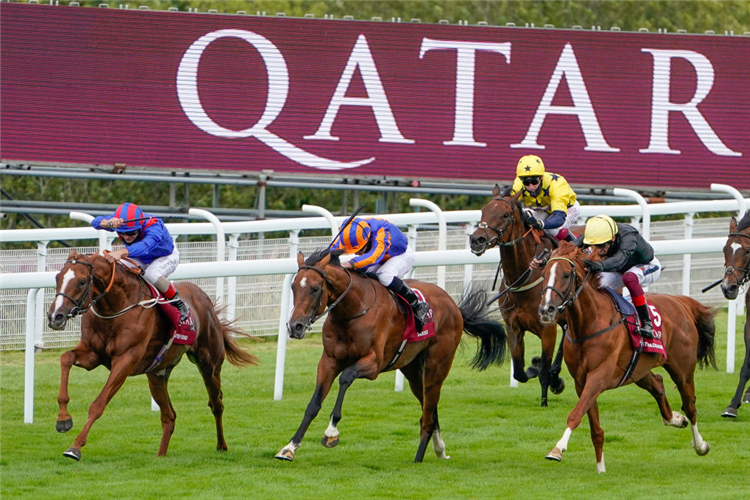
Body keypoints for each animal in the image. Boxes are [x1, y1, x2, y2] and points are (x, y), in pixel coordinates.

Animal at [47, 250, 258, 460]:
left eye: (82, 281)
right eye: (57, 277)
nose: (55, 316)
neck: (116, 308)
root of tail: (205, 299)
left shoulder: (125, 361)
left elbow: (98, 404)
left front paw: (75, 447)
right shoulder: (92, 354)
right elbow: (65, 358)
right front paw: (63, 419)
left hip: (209, 363)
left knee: (216, 404)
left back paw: (221, 445)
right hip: (157, 374)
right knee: (169, 416)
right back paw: (161, 455)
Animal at [274, 248, 508, 462]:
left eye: (315, 288)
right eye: (294, 287)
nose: (295, 326)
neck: (353, 310)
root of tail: (453, 305)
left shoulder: (374, 364)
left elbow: (345, 377)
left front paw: (331, 433)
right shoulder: (328, 361)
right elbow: (313, 404)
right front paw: (289, 448)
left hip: (436, 367)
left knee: (428, 414)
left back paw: (418, 459)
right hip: (413, 371)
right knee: (430, 409)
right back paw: (440, 450)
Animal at [468, 184, 568, 406]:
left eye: (505, 214)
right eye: (483, 211)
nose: (477, 239)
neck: (524, 277)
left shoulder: (547, 329)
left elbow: (545, 371)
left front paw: (545, 398)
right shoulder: (513, 327)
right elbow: (520, 372)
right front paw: (534, 366)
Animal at [536, 243, 720, 472]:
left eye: (566, 274)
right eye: (543, 274)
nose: (546, 310)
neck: (590, 323)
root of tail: (680, 302)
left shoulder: (598, 377)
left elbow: (576, 414)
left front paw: (557, 449)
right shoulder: (581, 381)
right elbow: (595, 429)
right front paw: (601, 469)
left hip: (683, 370)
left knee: (690, 405)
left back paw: (700, 445)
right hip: (637, 370)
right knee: (658, 384)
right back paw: (677, 419)